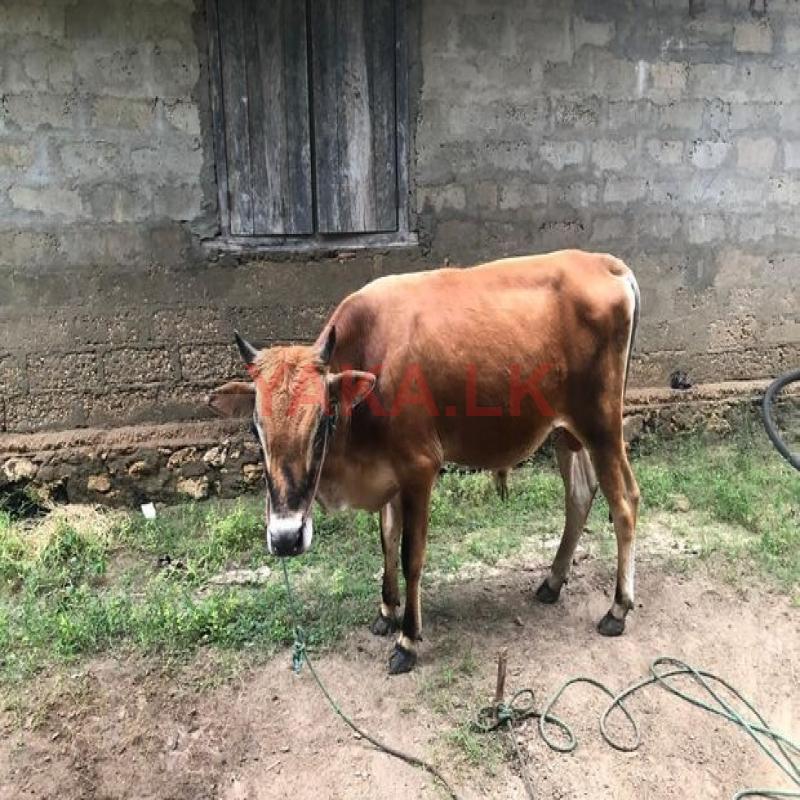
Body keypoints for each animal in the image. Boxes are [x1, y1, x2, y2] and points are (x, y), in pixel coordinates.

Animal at [209, 249, 641, 674]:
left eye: (322, 421)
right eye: (256, 428)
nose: (285, 538)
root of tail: (604, 262)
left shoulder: (419, 469)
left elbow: (410, 555)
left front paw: (408, 639)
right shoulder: (388, 473)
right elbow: (386, 539)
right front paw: (386, 611)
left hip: (602, 425)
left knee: (625, 503)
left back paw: (618, 609)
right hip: (567, 432)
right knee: (580, 496)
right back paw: (552, 582)